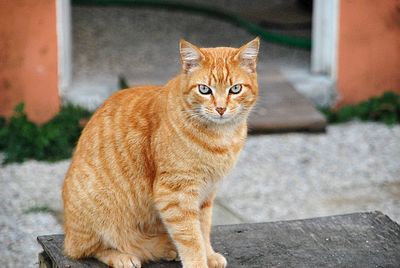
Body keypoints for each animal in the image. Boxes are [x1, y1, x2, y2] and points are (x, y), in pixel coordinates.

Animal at [62, 37, 260, 268]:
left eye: (235, 89)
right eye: (204, 89)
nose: (220, 109)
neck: (221, 136)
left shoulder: (206, 194)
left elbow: (203, 229)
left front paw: (209, 255)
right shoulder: (175, 195)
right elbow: (191, 238)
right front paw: (199, 262)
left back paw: (164, 248)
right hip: (99, 215)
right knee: (89, 249)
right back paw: (124, 256)